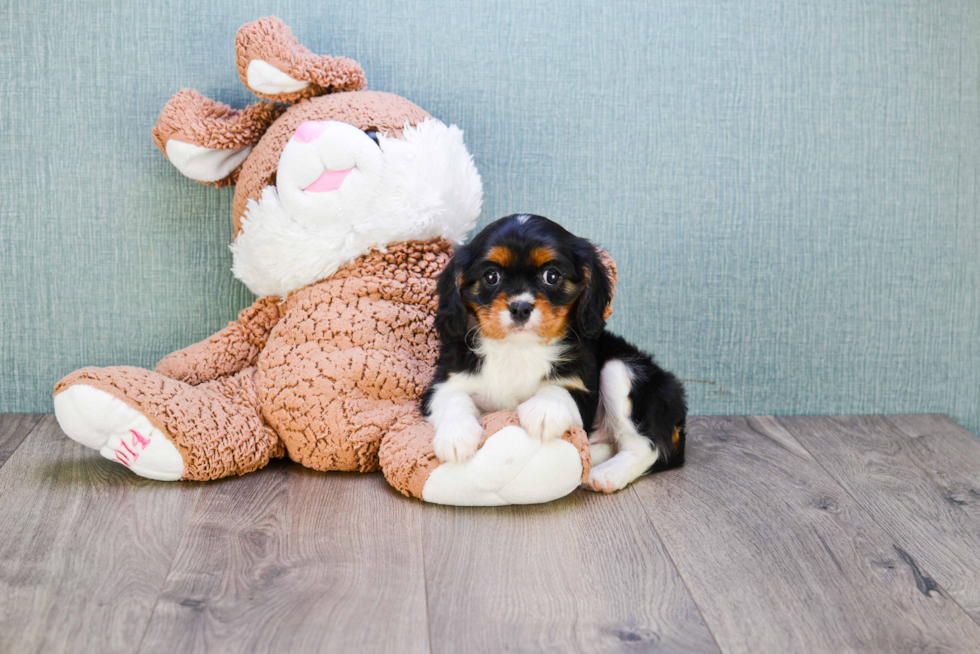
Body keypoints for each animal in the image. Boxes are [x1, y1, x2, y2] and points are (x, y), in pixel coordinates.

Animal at [424, 213, 688, 494]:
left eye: (551, 275)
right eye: (491, 276)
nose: (520, 307)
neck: (518, 349)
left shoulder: (582, 389)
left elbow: (559, 390)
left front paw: (544, 410)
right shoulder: (443, 382)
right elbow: (452, 398)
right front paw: (457, 435)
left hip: (622, 369)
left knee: (648, 447)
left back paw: (607, 474)